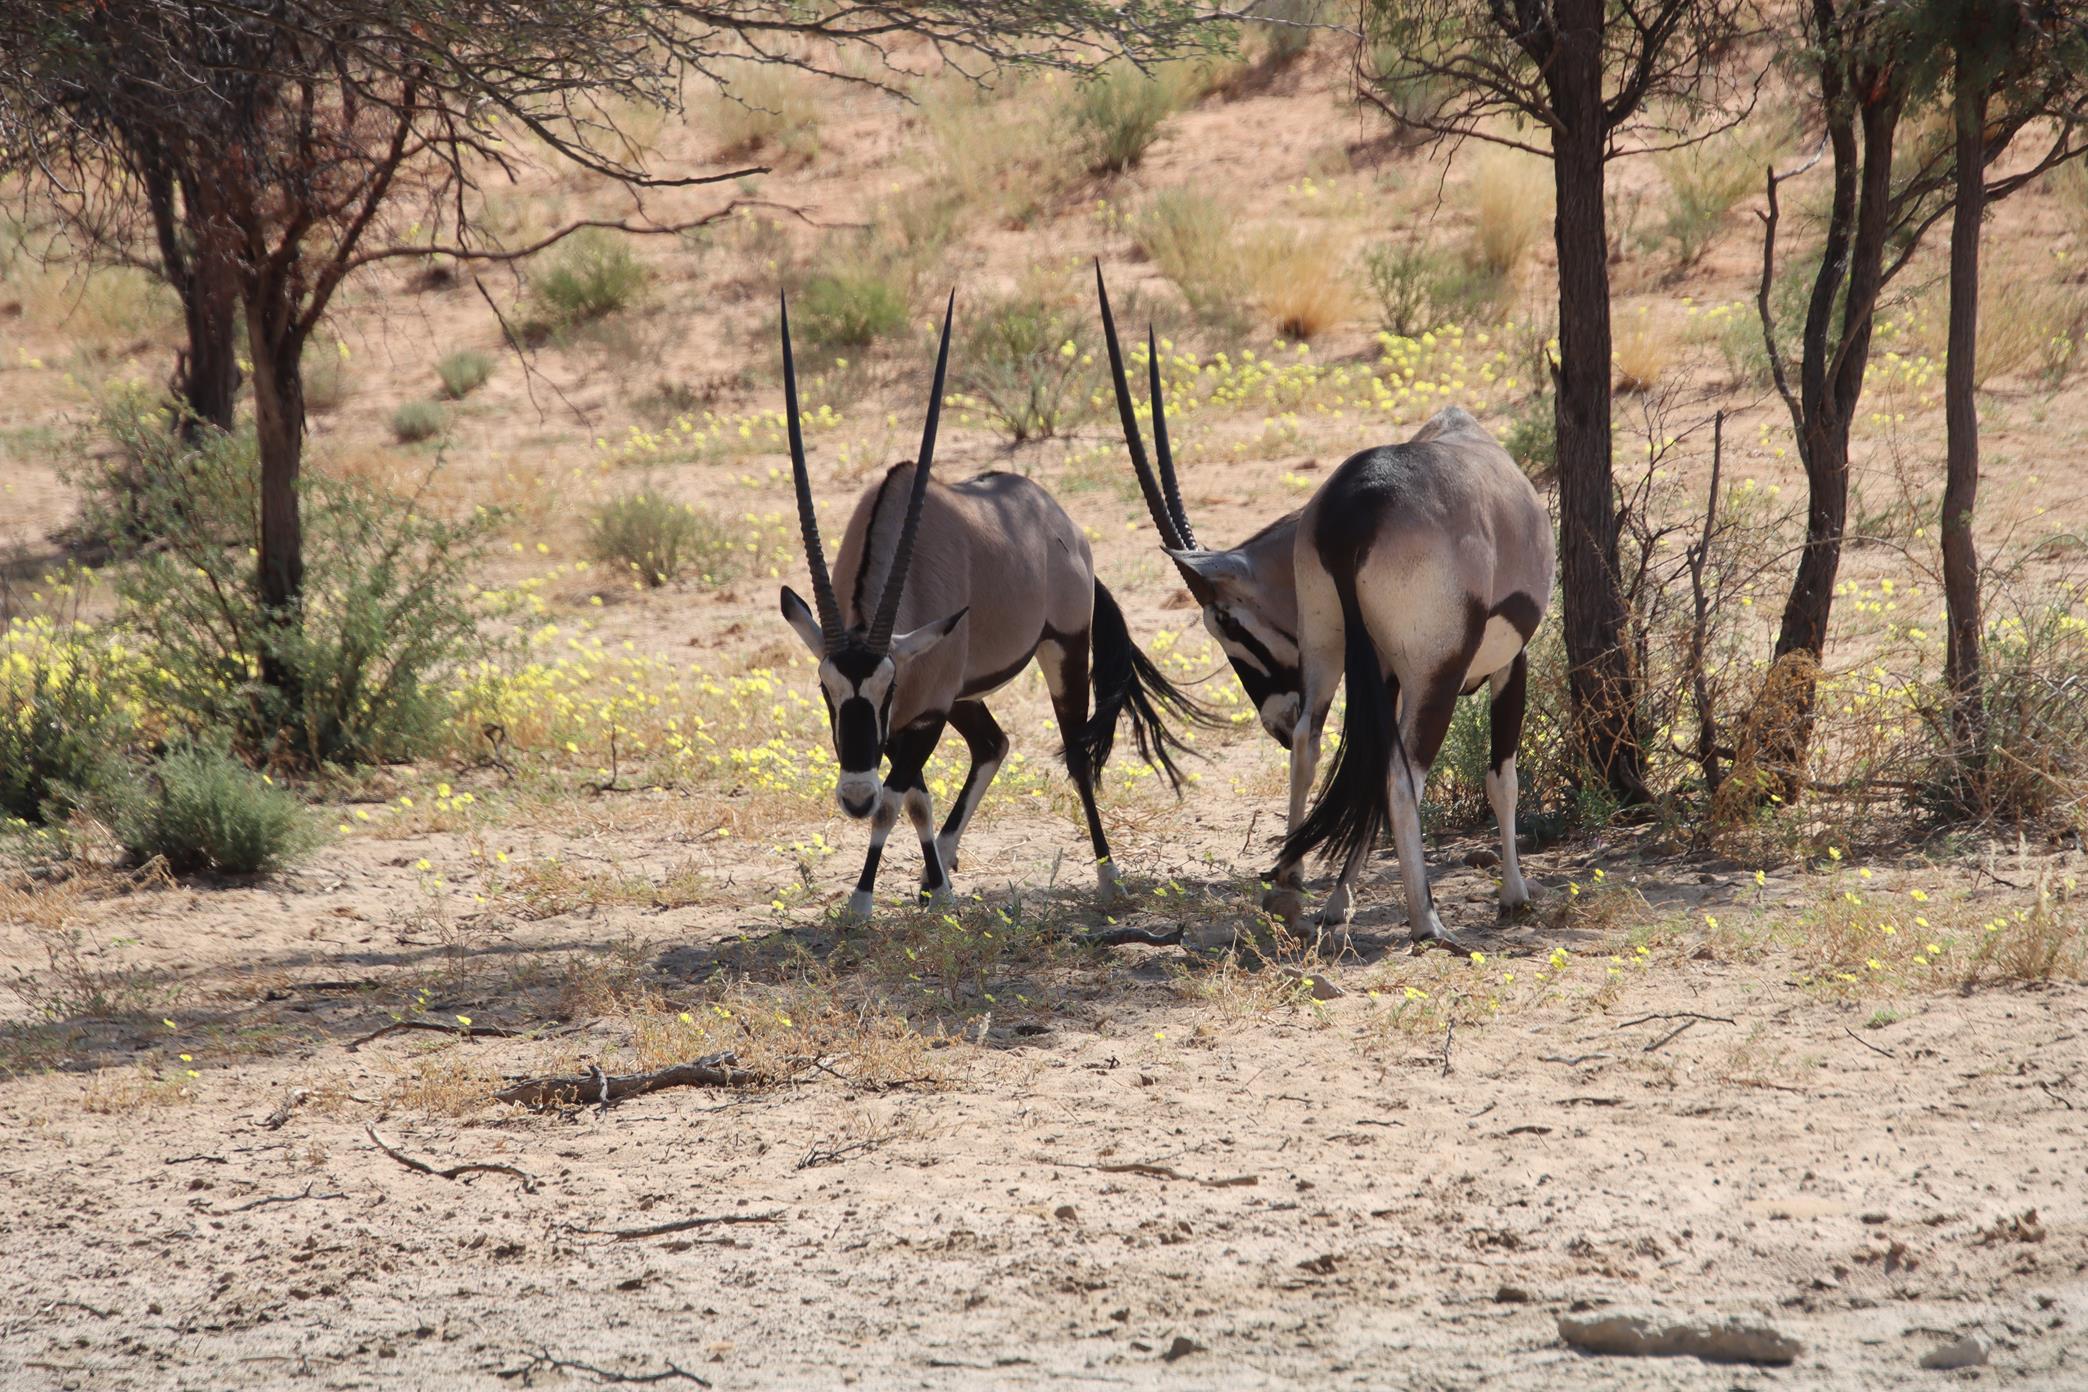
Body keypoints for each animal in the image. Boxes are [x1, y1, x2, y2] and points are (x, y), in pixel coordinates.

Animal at [781, 291, 1210, 920]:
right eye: (825, 690)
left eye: (885, 688)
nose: (853, 797)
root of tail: (1063, 524)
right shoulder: (919, 712)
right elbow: (915, 800)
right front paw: (937, 890)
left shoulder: (924, 714)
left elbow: (896, 801)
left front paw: (863, 902)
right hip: (966, 691)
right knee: (992, 744)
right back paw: (940, 869)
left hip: (1061, 650)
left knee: (1075, 755)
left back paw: (1109, 878)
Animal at [1096, 266, 1553, 943]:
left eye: (1225, 622)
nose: (1272, 722)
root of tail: (1353, 509)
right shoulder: (1505, 661)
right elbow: (1502, 776)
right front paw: (1515, 895)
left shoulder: (1379, 673)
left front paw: (1338, 900)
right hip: (1436, 673)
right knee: (1401, 776)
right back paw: (1426, 920)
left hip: (1328, 649)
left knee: (1316, 743)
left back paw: (1290, 887)